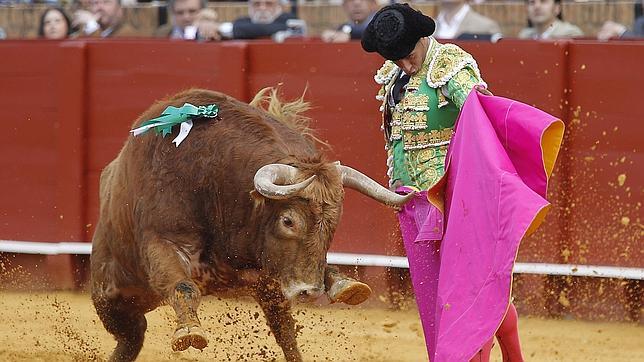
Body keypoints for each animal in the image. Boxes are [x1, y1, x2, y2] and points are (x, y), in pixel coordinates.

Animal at [89, 88, 412, 362]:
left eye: (333, 225)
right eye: (288, 221)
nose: (309, 292)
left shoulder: (269, 274)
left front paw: (343, 283)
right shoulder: (163, 242)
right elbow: (182, 286)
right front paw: (189, 333)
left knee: (285, 332)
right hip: (110, 298)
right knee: (131, 335)